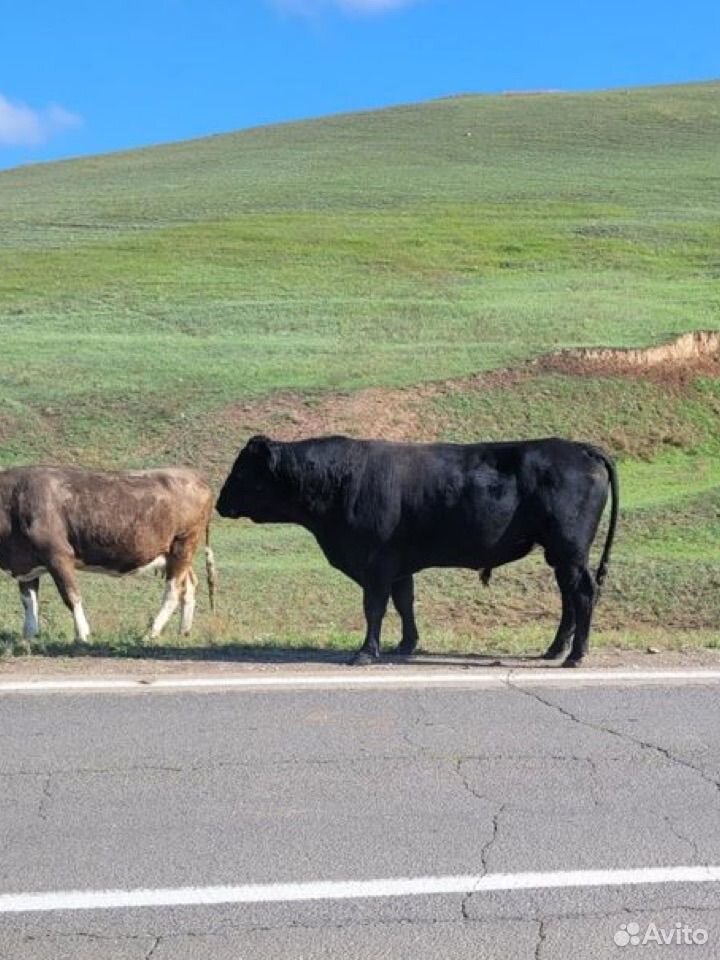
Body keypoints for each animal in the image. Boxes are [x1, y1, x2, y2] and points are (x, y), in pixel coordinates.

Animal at [0, 466, 215, 640]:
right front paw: (29, 637)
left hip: (183, 545)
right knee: (189, 585)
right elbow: (29, 602)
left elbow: (71, 596)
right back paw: (183, 631)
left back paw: (151, 633)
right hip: (173, 555)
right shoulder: (26, 564)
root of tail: (195, 476)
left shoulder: (58, 555)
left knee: (173, 591)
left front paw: (83, 635)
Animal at [217, 436, 616, 668]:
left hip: (569, 550)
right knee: (569, 597)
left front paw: (365, 652)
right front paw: (406, 644)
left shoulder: (375, 563)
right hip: (561, 555)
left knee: (582, 594)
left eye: (242, 471)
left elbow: (375, 607)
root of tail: (580, 448)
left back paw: (575, 656)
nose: (219, 503)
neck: (343, 479)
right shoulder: (398, 565)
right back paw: (555, 649)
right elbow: (404, 602)